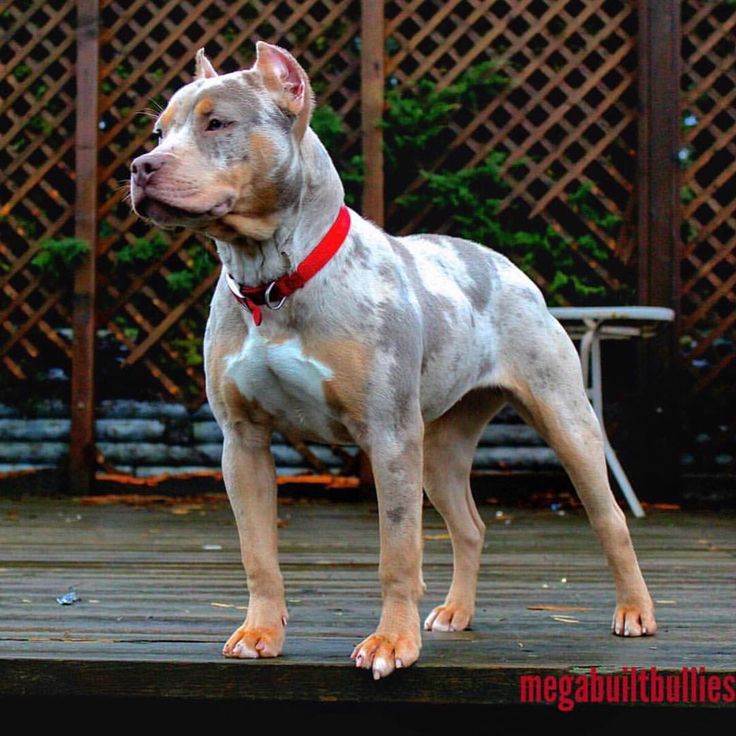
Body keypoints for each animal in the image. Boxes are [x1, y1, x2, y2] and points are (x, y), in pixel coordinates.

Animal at [131, 43, 656, 680]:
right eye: (159, 132)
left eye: (217, 124)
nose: (141, 166)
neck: (275, 278)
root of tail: (502, 265)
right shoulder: (243, 441)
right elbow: (257, 551)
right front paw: (260, 632)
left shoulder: (388, 435)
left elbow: (397, 551)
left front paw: (391, 643)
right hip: (439, 448)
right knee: (470, 526)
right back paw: (456, 612)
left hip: (564, 418)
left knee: (609, 518)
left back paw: (635, 612)